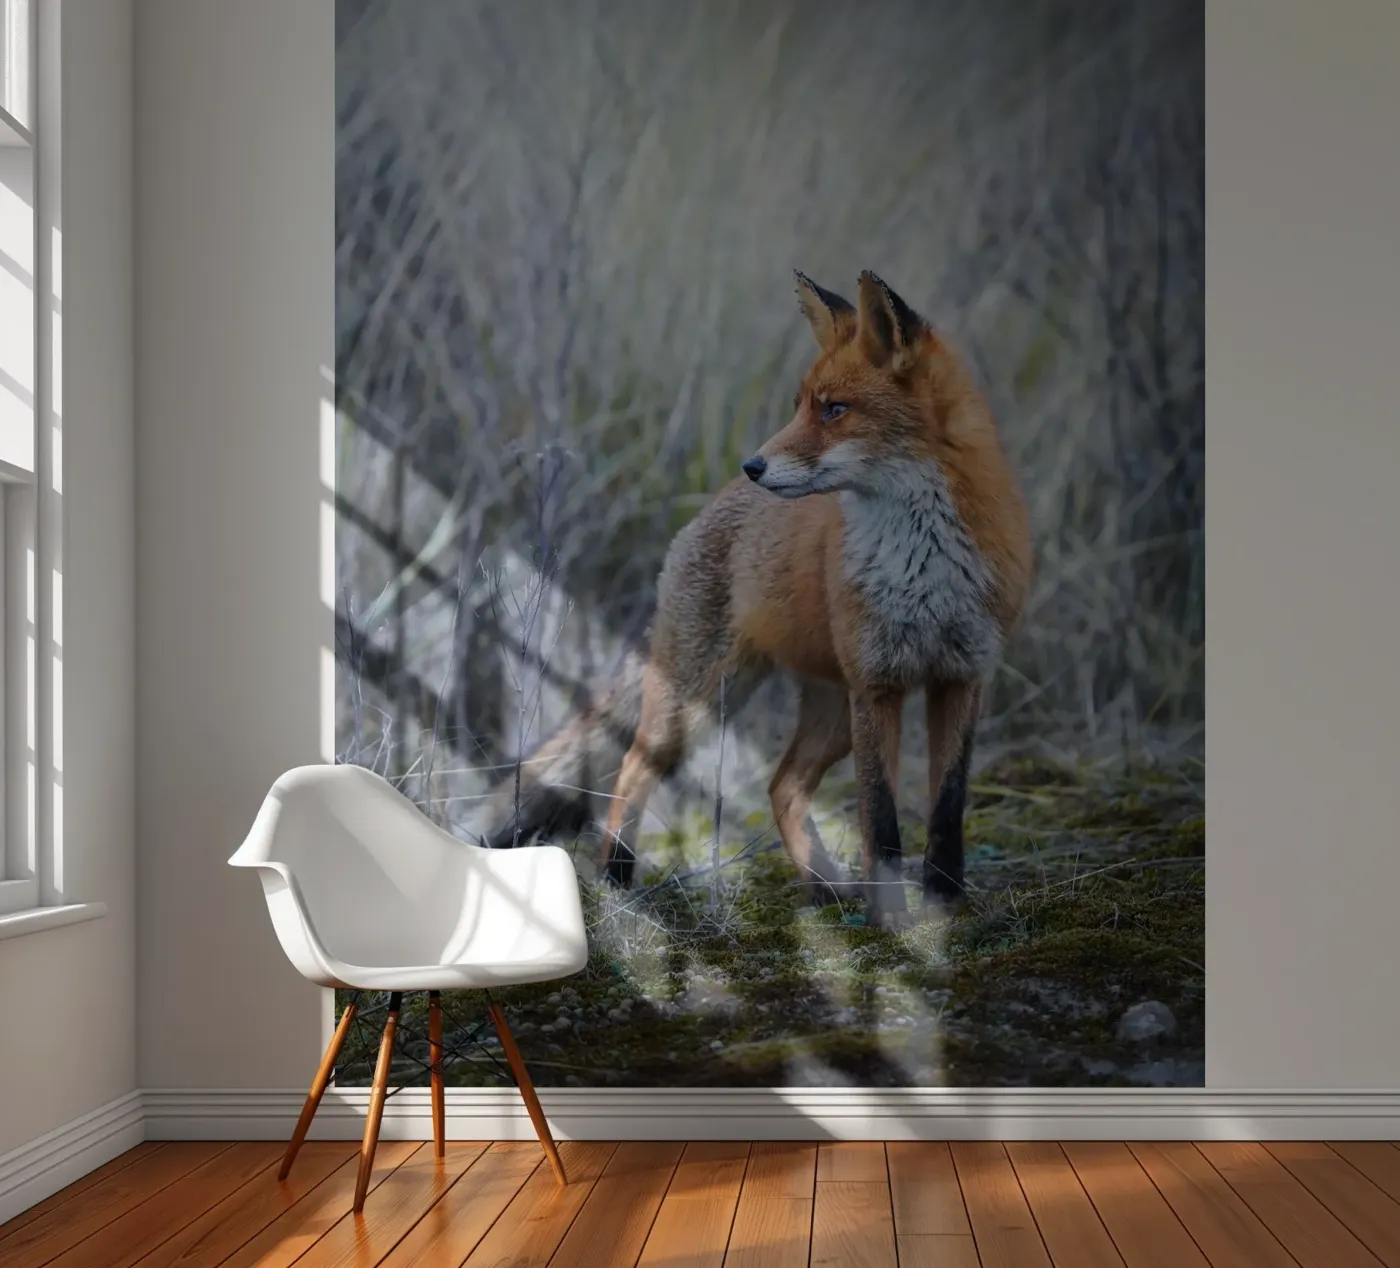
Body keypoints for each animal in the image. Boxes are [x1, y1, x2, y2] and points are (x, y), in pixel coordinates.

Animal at [479, 271, 1032, 926]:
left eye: (834, 409)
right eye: (801, 405)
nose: (754, 465)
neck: (923, 564)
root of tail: (708, 508)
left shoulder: (962, 675)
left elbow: (947, 808)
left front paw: (946, 905)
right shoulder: (879, 684)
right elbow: (881, 819)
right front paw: (892, 921)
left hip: (831, 714)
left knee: (781, 785)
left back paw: (824, 888)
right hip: (700, 702)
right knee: (635, 767)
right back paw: (617, 878)